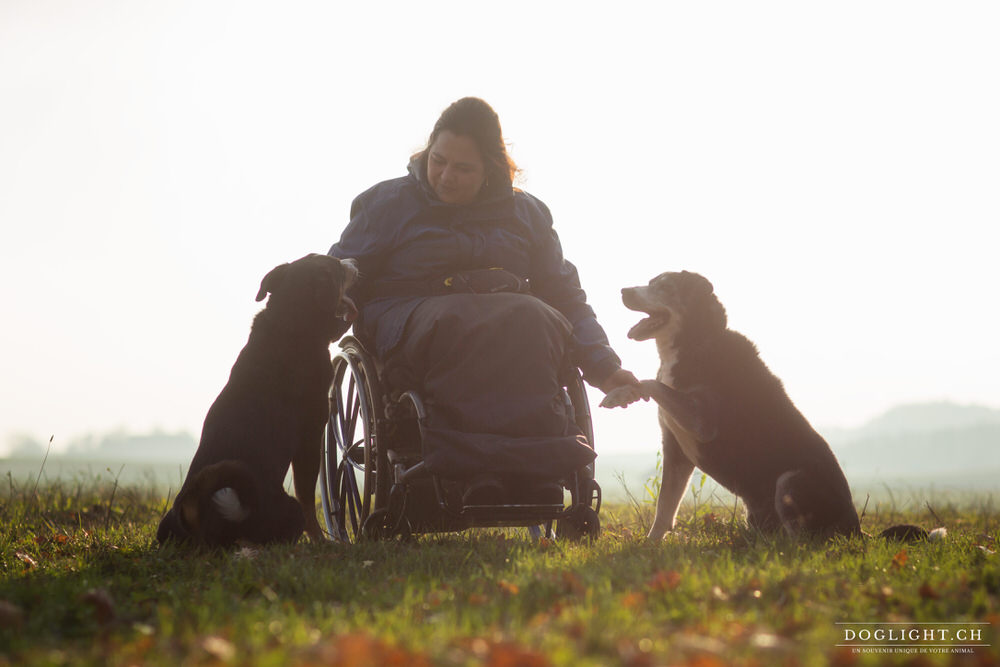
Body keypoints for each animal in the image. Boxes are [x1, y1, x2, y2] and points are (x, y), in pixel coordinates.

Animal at [154, 256, 358, 548]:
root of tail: (206, 514)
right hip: (287, 507)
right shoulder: (310, 439)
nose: (354, 261)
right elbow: (309, 500)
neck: (290, 324)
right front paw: (322, 540)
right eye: (337, 267)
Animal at [600, 274, 868, 540]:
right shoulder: (675, 448)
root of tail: (856, 529)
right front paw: (650, 543)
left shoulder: (701, 422)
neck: (696, 341)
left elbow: (652, 383)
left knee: (803, 540)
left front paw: (618, 393)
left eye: (664, 286)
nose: (624, 291)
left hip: (791, 479)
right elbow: (665, 505)